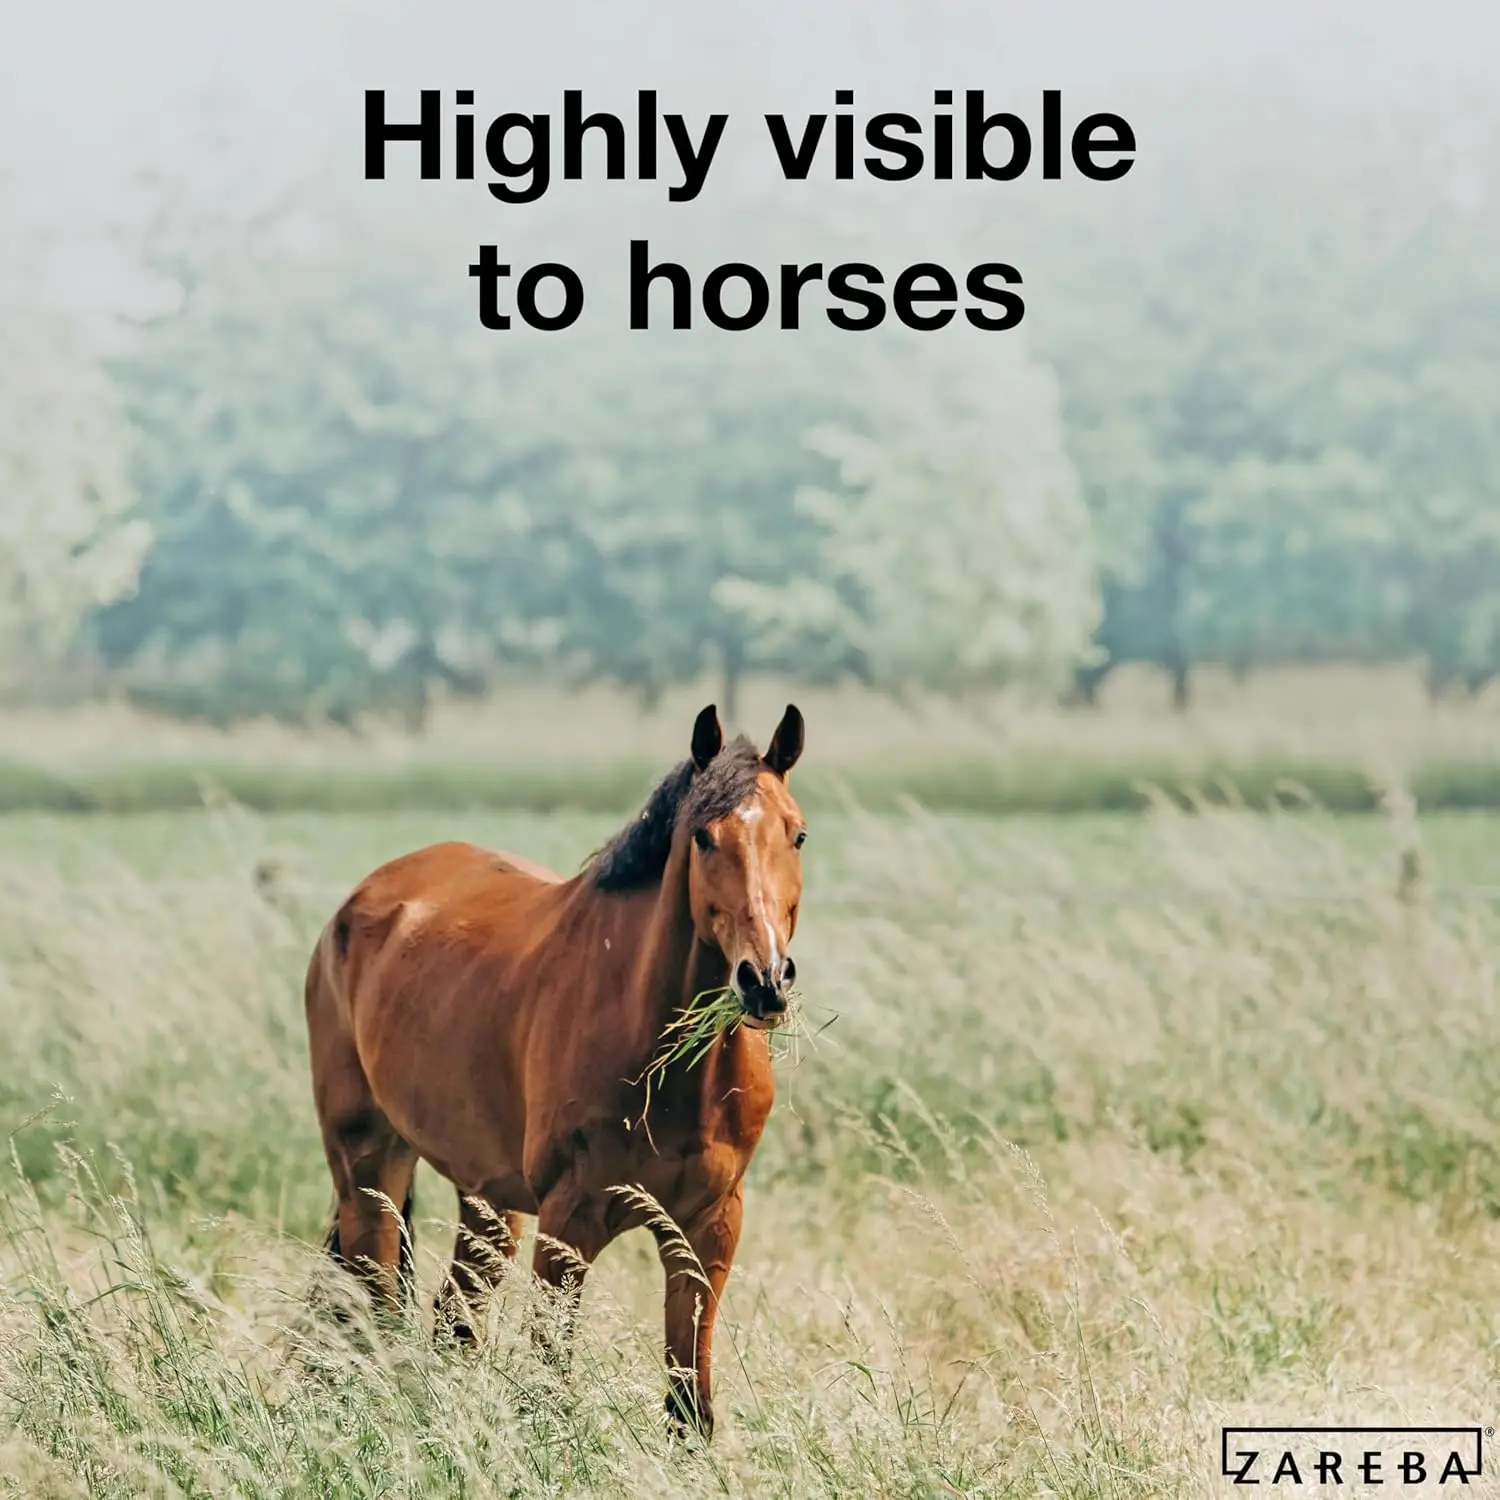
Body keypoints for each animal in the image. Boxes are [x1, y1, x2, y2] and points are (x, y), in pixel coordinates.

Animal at [303, 703, 806, 1438]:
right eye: (704, 838)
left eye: (797, 835)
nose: (765, 980)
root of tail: (360, 902)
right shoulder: (570, 1223)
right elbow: (548, 1385)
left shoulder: (709, 1227)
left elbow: (690, 1407)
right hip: (370, 1167)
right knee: (378, 1307)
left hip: (487, 1201)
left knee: (448, 1320)